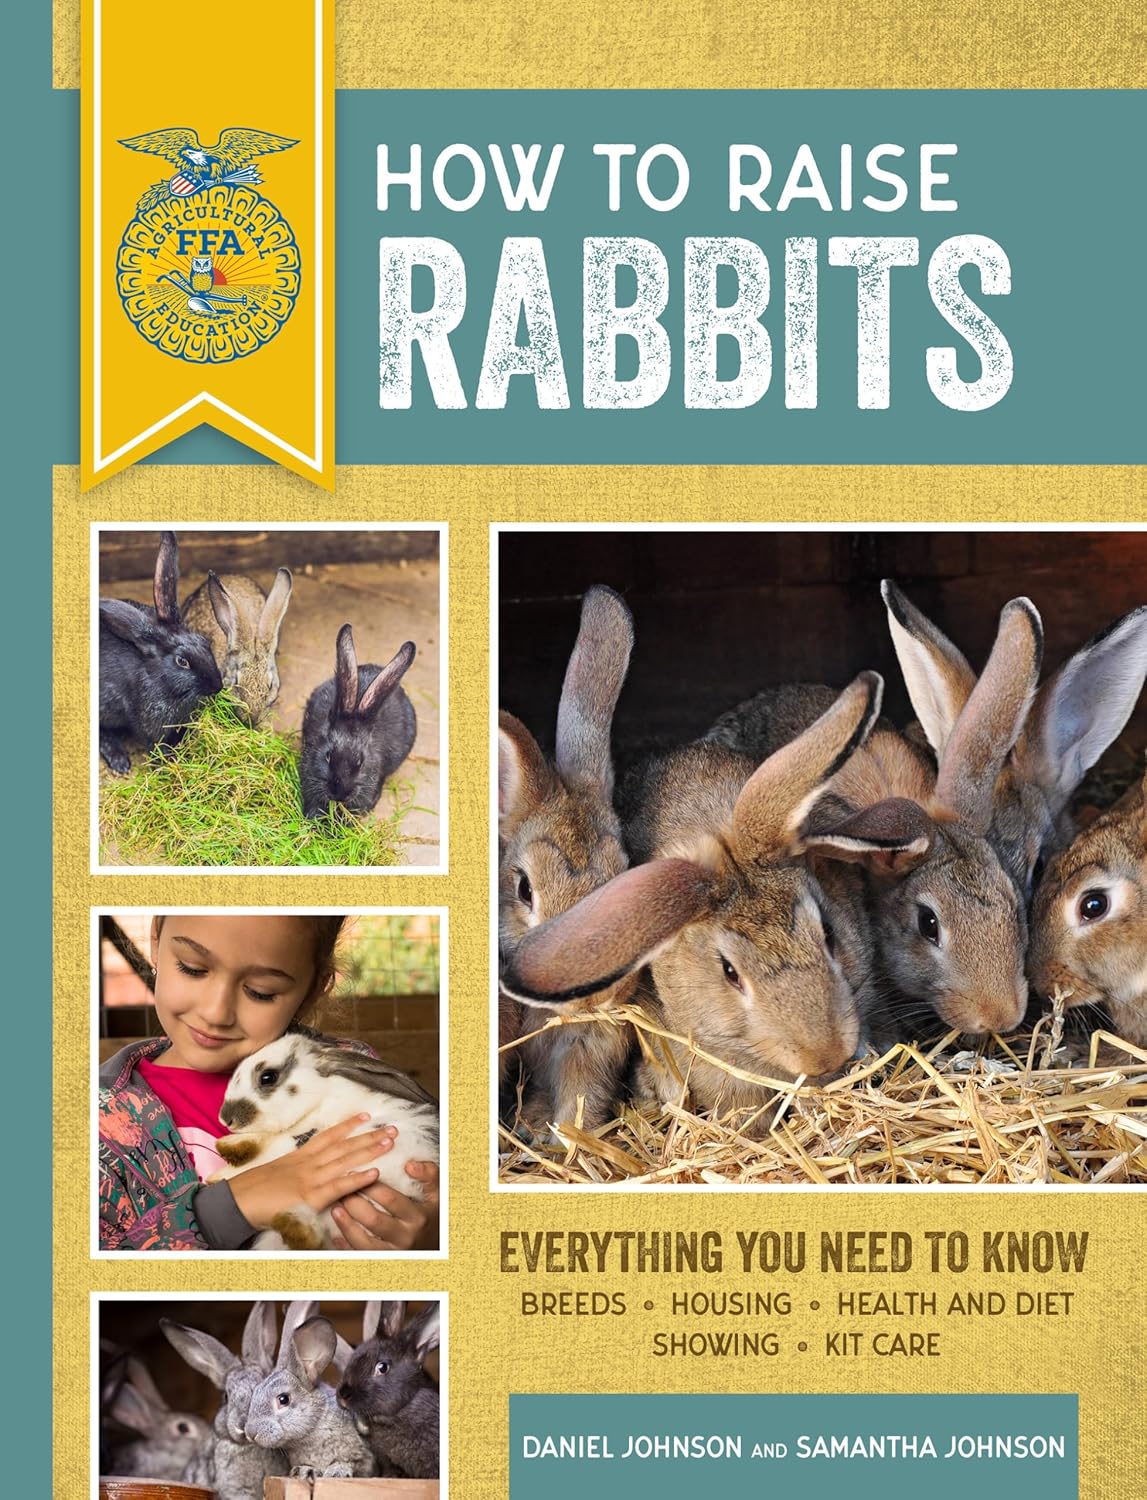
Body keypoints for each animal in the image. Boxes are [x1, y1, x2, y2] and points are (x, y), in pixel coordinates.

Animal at [99, 530, 223, 773]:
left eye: (205, 642)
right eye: (182, 661)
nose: (217, 686)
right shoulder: (148, 721)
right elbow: (154, 743)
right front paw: (168, 763)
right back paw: (119, 760)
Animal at [211, 1031, 439, 1250]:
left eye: (268, 1077)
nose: (226, 1119)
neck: (321, 1098)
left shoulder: (305, 1131)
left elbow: (270, 1146)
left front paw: (224, 1158)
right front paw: (223, 1160)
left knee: (314, 1238)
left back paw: (296, 1227)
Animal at [246, 1314, 376, 1479]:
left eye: (283, 1399)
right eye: (255, 1392)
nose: (250, 1433)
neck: (313, 1429)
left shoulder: (364, 1457)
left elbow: (352, 1462)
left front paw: (336, 1471)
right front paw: (303, 1471)